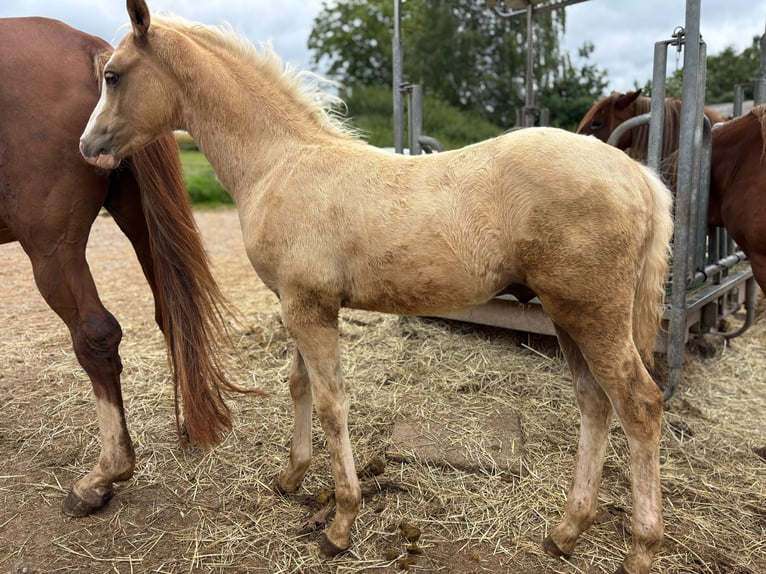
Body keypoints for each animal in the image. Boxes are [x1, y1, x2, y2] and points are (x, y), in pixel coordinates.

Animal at [0, 17, 250, 517]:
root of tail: (91, 47)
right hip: (139, 221)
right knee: (172, 315)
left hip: (54, 251)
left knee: (96, 335)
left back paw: (102, 477)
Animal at [79, 2, 674, 572]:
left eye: (112, 75)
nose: (87, 146)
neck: (281, 163)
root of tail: (637, 175)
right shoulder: (296, 302)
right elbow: (299, 385)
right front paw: (292, 477)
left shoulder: (309, 306)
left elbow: (330, 402)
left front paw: (341, 525)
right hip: (568, 314)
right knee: (595, 404)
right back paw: (566, 532)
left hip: (592, 313)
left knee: (639, 405)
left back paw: (641, 550)